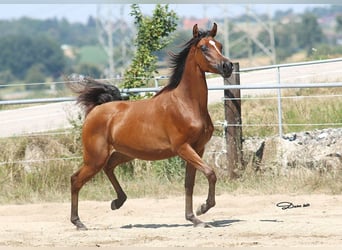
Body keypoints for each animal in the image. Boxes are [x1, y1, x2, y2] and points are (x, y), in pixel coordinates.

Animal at [67, 22, 232, 229]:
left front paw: (193, 218)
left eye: (219, 45)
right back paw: (78, 222)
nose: (227, 66)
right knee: (76, 180)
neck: (186, 104)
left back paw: (117, 202)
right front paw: (203, 208)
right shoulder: (183, 148)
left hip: (125, 153)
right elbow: (210, 173)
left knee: (109, 167)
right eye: (203, 47)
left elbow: (189, 183)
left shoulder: (198, 148)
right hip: (95, 158)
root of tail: (95, 110)